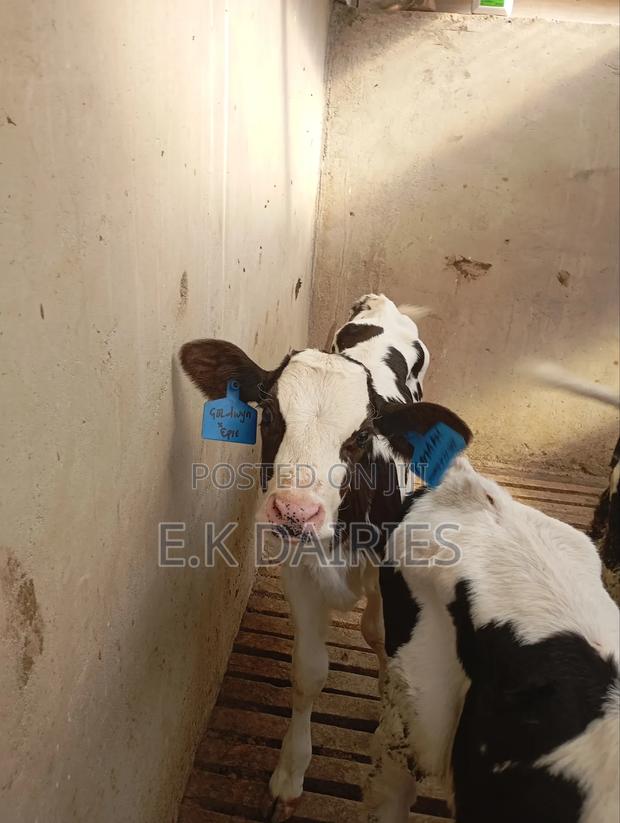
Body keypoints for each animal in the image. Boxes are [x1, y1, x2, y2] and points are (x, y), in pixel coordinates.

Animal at [180, 298, 431, 821]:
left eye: (362, 434)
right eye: (269, 415)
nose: (295, 511)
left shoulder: (386, 566)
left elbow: (380, 633)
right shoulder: (297, 571)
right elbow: (309, 672)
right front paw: (290, 775)